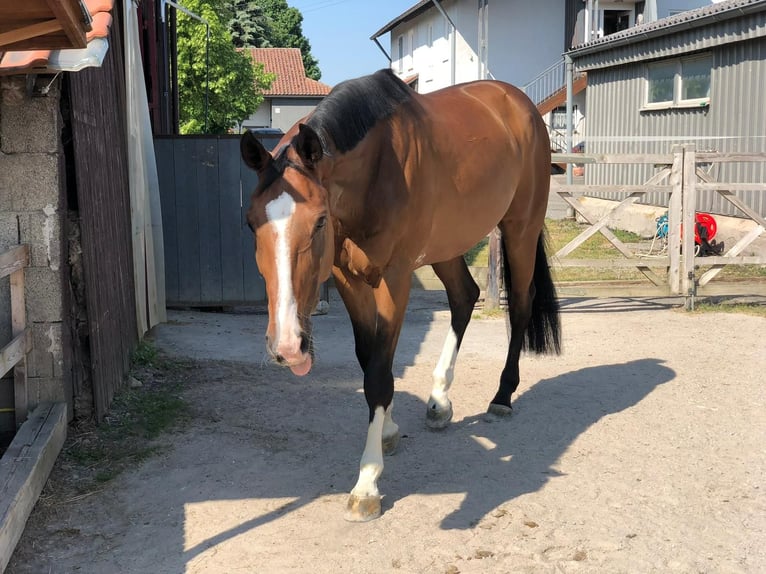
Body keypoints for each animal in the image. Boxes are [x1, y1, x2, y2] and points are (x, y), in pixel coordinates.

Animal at [242, 70, 564, 524]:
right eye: (250, 222)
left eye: (319, 221)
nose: (287, 347)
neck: (376, 170)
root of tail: (521, 105)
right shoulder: (347, 278)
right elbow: (370, 360)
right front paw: (390, 430)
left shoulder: (393, 281)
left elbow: (379, 374)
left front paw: (367, 483)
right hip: (447, 245)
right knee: (464, 297)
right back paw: (439, 400)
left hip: (520, 227)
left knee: (519, 304)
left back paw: (502, 396)